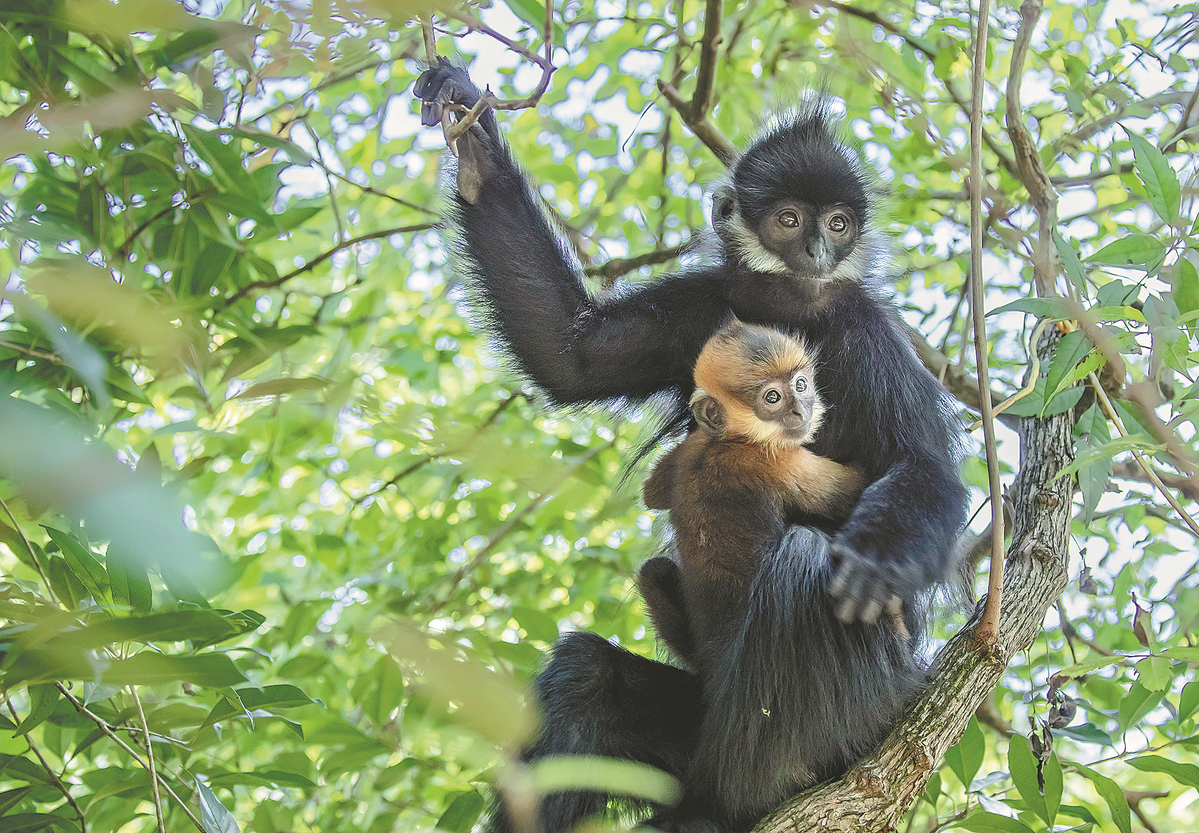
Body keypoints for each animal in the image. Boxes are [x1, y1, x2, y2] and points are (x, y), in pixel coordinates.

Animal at [417, 60, 968, 833]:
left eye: (838, 223)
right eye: (789, 219)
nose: (818, 252)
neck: (787, 312)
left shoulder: (868, 331)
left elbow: (927, 469)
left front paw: (874, 563)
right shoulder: (700, 306)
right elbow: (568, 355)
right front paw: (472, 142)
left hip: (872, 701)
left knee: (804, 565)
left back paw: (745, 795)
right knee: (585, 673)